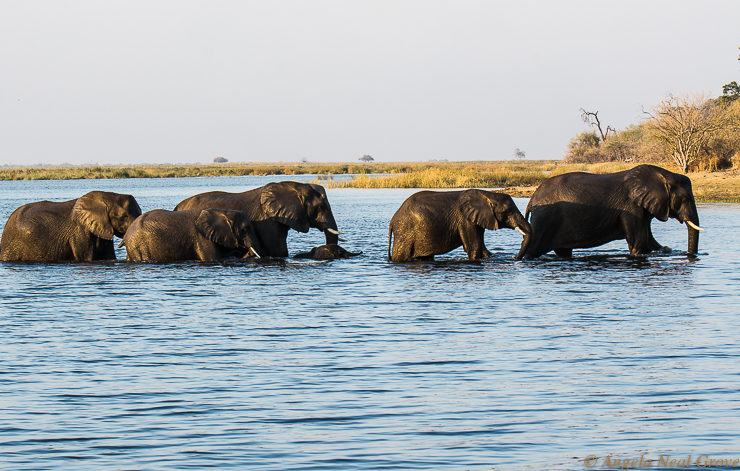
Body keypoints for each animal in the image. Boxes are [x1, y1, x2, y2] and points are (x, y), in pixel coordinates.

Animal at [120, 209, 262, 264]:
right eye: (245, 229)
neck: (222, 212)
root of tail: (126, 235)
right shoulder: (201, 237)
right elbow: (213, 258)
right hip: (138, 245)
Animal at [390, 189, 528, 262]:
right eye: (508, 212)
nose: (515, 257)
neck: (487, 194)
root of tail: (392, 220)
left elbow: (482, 249)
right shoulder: (465, 221)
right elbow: (474, 247)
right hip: (405, 232)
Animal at [524, 163, 704, 258]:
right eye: (684, 199)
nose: (691, 255)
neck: (663, 175)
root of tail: (532, 198)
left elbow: (650, 241)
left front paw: (665, 249)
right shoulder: (631, 207)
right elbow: (639, 242)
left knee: (563, 251)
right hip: (545, 220)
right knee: (532, 249)